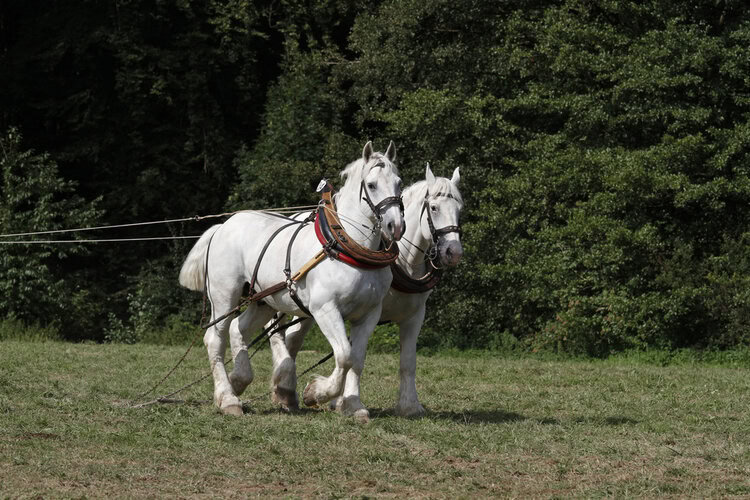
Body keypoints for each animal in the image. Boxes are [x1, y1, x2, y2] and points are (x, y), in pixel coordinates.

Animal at [178, 141, 405, 421]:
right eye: (371, 185)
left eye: (399, 183)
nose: (396, 226)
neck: (349, 247)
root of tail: (221, 226)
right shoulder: (325, 309)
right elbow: (344, 355)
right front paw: (317, 393)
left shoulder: (369, 314)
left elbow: (358, 359)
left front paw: (354, 405)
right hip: (224, 297)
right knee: (215, 339)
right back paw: (228, 398)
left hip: (263, 301)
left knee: (238, 329)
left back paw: (238, 380)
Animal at [267, 164, 463, 416]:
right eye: (434, 207)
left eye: (460, 209)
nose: (453, 252)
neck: (403, 263)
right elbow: (351, 356)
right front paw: (340, 400)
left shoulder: (414, 315)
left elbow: (407, 361)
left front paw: (410, 405)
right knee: (278, 333)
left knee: (292, 340)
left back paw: (285, 390)